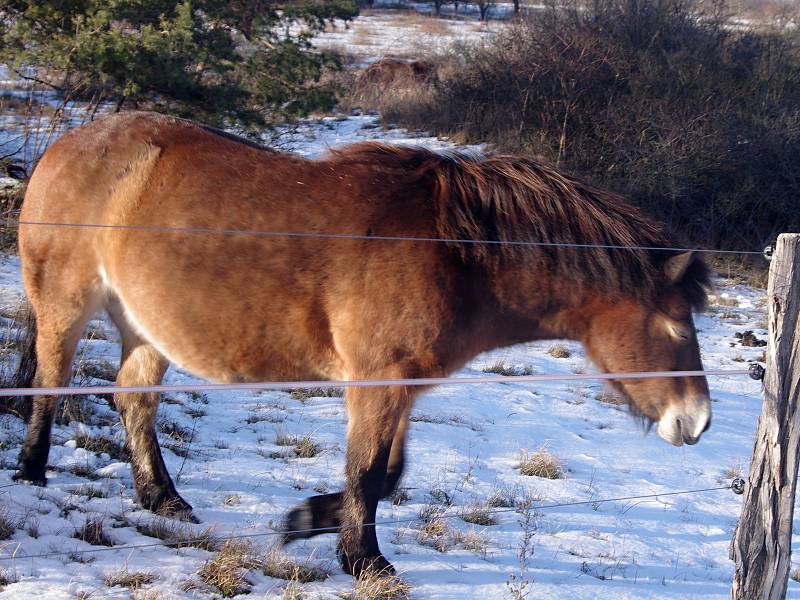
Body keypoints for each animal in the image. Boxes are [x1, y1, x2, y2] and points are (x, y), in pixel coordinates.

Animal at [15, 110, 708, 576]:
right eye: (677, 325)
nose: (697, 422)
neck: (456, 252)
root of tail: (69, 142)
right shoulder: (378, 379)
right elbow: (369, 470)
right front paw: (364, 560)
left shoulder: (401, 388)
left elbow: (387, 474)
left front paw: (308, 521)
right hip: (65, 307)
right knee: (49, 383)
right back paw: (31, 472)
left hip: (145, 327)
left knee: (133, 400)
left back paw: (162, 499)